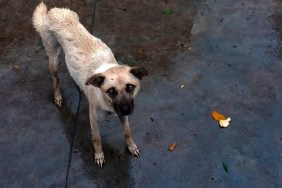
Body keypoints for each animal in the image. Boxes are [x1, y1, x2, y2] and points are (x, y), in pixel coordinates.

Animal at [32, 1, 148, 167]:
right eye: (111, 91)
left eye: (130, 87)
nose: (126, 109)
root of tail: (53, 11)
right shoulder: (93, 119)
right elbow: (96, 139)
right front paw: (99, 155)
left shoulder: (123, 114)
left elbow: (127, 132)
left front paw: (131, 147)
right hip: (53, 59)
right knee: (55, 79)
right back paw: (58, 96)